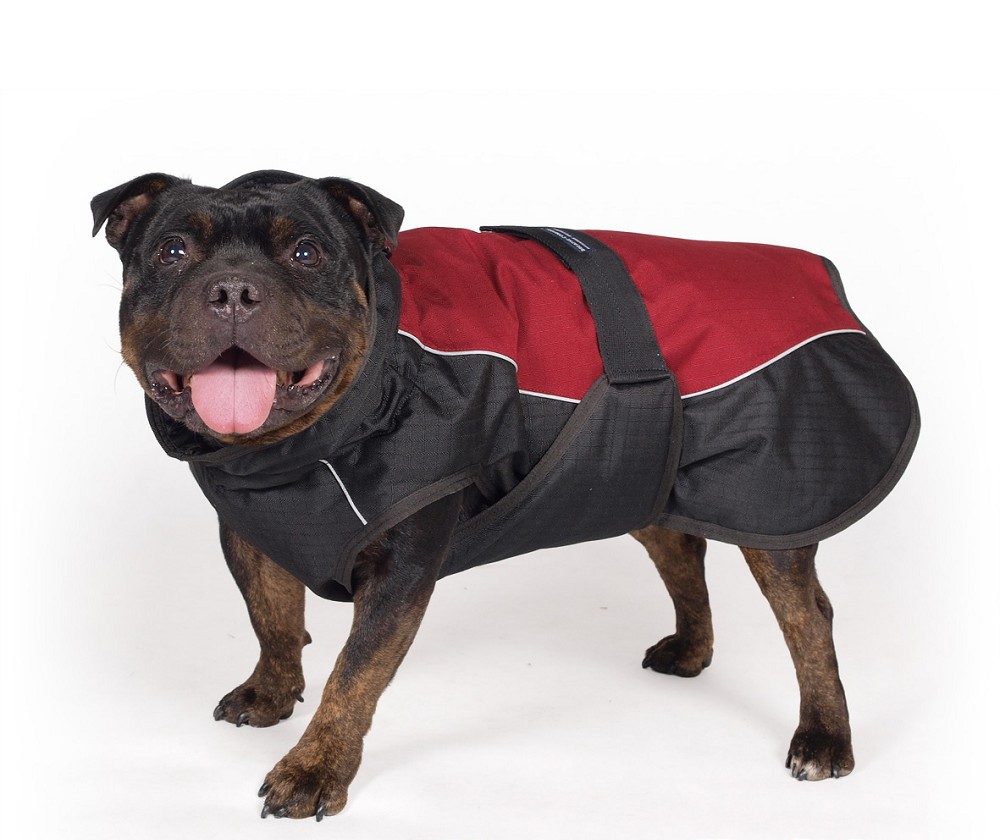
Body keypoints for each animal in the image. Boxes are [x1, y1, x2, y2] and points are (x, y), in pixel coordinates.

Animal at [91, 170, 918, 820]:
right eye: (171, 251)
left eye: (306, 252)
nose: (233, 289)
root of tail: (821, 276)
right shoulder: (249, 532)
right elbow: (271, 619)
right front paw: (271, 693)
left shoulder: (400, 569)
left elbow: (352, 677)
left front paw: (314, 768)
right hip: (636, 472)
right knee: (681, 547)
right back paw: (691, 650)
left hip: (773, 493)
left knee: (808, 617)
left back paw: (824, 738)